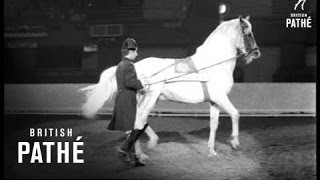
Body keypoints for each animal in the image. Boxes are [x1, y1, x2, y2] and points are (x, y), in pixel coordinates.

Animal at [79, 16, 260, 157]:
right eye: (248, 33)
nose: (256, 53)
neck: (214, 64)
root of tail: (135, 65)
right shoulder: (220, 97)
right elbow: (235, 114)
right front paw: (235, 142)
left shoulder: (214, 101)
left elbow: (214, 125)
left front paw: (211, 151)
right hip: (148, 97)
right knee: (138, 120)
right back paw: (141, 152)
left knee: (137, 121)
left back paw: (146, 145)